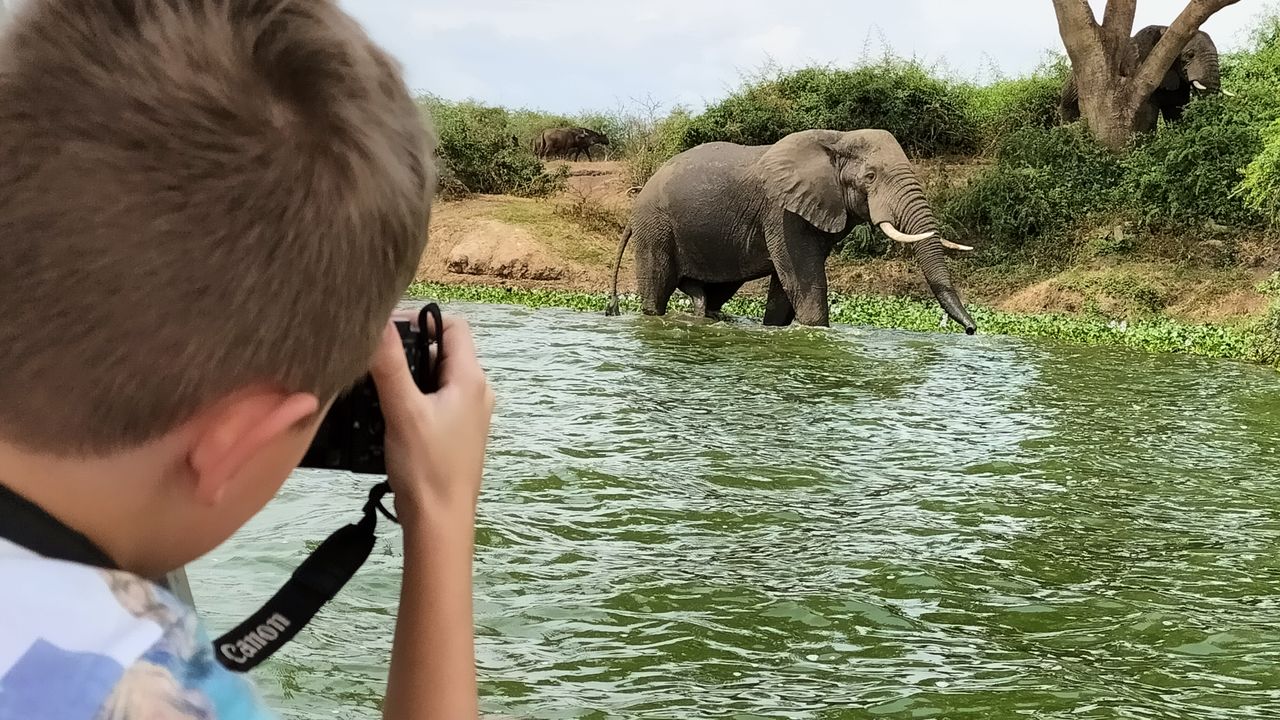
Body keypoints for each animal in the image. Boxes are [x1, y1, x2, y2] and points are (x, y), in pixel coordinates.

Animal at [609, 127, 977, 333]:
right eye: (870, 177)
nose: (972, 330)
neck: (837, 139)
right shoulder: (782, 211)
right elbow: (804, 282)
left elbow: (785, 291)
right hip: (655, 229)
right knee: (657, 291)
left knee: (714, 292)